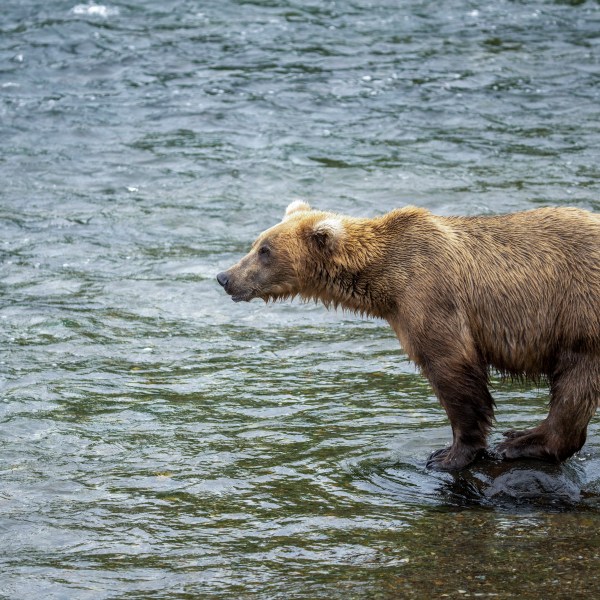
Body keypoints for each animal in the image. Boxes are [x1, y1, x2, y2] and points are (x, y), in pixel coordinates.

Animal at [217, 204, 600, 472]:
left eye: (265, 251)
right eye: (255, 244)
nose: (225, 277)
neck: (387, 283)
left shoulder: (431, 295)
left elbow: (453, 370)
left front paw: (448, 455)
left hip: (578, 315)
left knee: (574, 385)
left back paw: (522, 442)